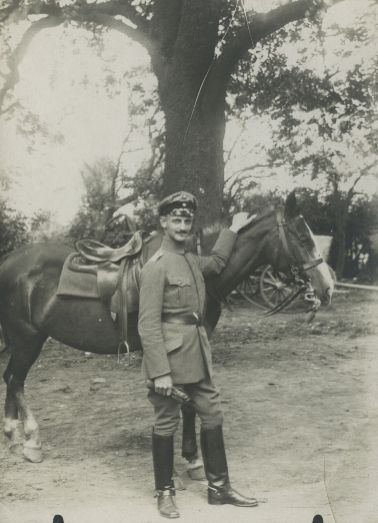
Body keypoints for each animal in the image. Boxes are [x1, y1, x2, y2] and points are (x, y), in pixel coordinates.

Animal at [0, 192, 332, 462]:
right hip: (28, 339)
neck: (197, 267)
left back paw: (12, 434)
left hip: (21, 342)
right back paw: (31, 440)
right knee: (16, 380)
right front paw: (192, 457)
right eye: (303, 239)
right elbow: (187, 402)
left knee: (10, 378)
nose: (327, 288)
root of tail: (7, 262)